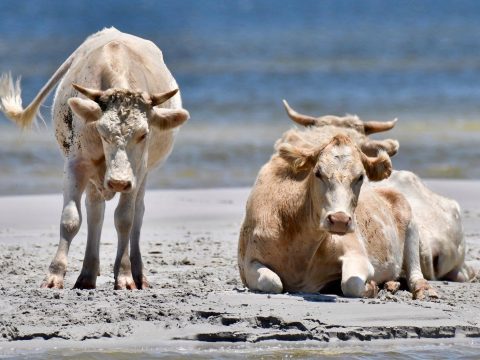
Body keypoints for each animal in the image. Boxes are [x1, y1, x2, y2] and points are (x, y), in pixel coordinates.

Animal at [0, 27, 190, 290]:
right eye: (101, 131)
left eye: (144, 134)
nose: (118, 182)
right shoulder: (76, 164)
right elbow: (70, 219)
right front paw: (54, 275)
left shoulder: (137, 172)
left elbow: (125, 219)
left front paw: (124, 276)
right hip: (94, 177)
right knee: (95, 212)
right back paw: (87, 274)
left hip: (143, 175)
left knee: (137, 214)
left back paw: (138, 273)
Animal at [238, 131, 436, 300]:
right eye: (318, 173)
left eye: (360, 177)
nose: (339, 220)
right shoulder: (248, 262)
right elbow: (272, 282)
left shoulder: (357, 254)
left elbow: (351, 284)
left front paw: (372, 286)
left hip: (411, 225)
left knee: (415, 273)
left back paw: (423, 290)